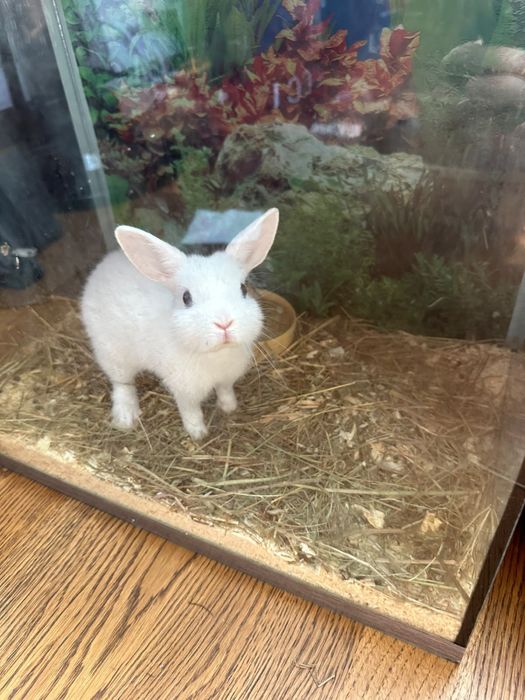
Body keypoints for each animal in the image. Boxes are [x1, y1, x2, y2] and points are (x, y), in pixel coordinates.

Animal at [81, 208, 279, 440]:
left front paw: (230, 408)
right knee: (122, 384)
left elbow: (225, 391)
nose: (224, 323)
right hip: (113, 354)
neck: (217, 355)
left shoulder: (226, 378)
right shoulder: (185, 390)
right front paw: (197, 433)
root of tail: (104, 264)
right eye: (186, 298)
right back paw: (125, 416)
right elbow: (190, 410)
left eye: (243, 289)